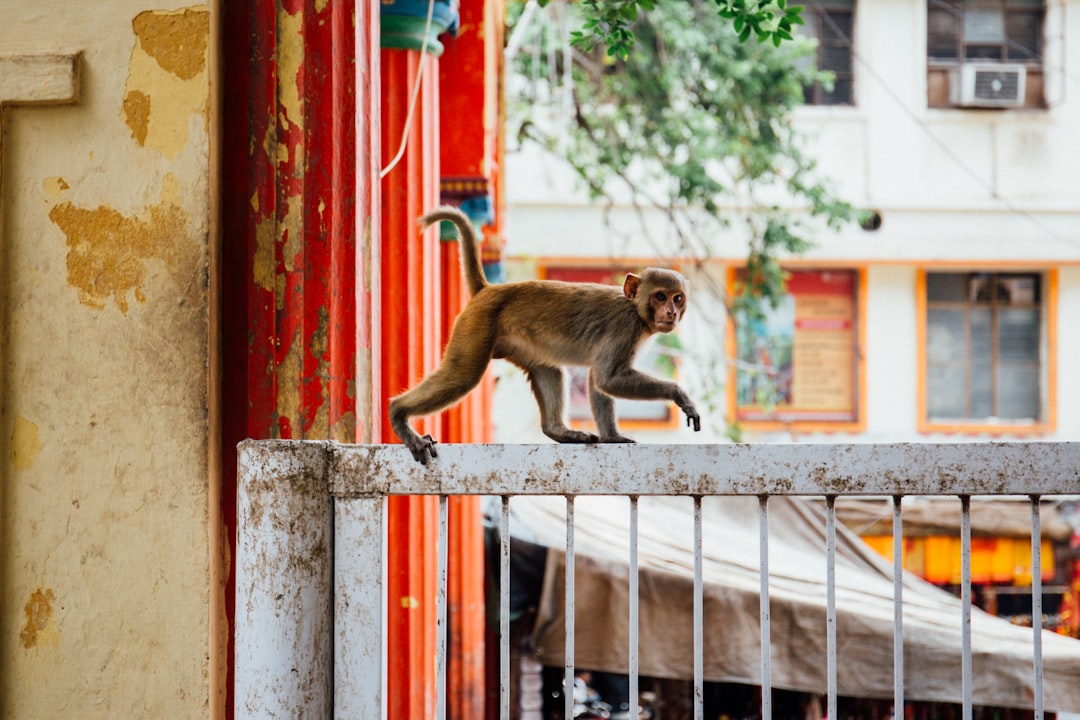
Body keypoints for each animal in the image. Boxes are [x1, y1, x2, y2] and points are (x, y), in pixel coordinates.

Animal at [388, 205, 699, 464]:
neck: (635, 310)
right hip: (477, 325)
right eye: (660, 296)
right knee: (462, 375)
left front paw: (612, 437)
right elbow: (607, 378)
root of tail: (487, 290)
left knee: (547, 368)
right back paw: (398, 413)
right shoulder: (625, 329)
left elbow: (597, 381)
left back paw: (558, 431)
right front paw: (679, 394)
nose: (671, 312)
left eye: (678, 298)